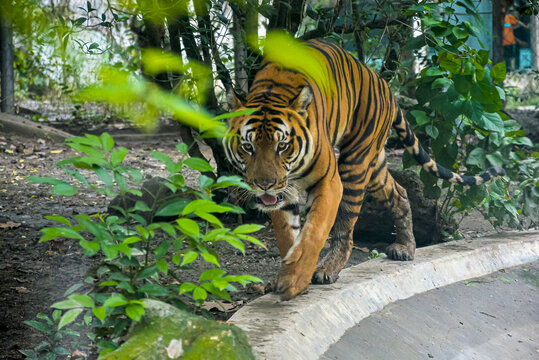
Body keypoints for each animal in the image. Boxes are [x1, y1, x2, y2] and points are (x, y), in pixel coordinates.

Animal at [221, 38, 504, 300]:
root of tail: (384, 84)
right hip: (375, 165)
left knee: (346, 230)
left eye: (282, 146)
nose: (264, 184)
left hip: (354, 165)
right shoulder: (283, 194)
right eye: (248, 147)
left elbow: (314, 231)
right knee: (399, 192)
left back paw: (328, 269)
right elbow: (286, 236)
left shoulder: (328, 182)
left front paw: (296, 279)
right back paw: (405, 247)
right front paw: (285, 273)